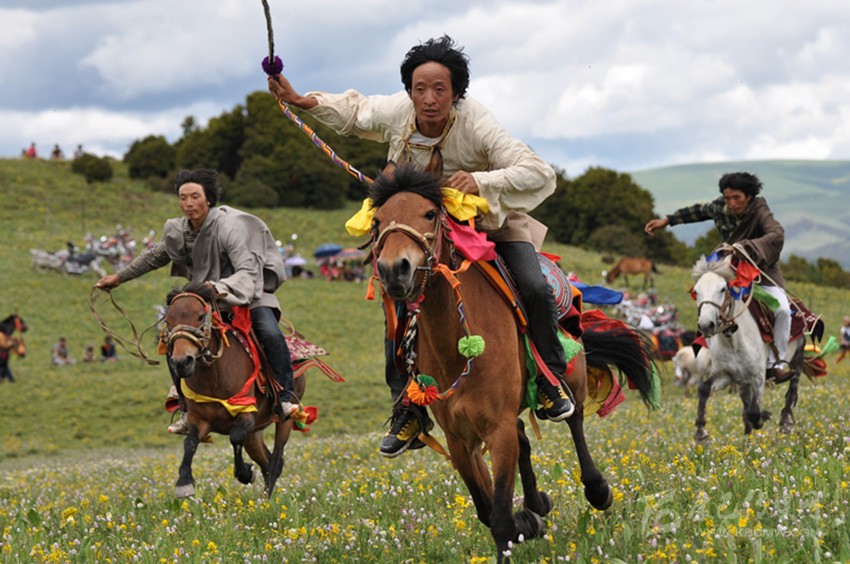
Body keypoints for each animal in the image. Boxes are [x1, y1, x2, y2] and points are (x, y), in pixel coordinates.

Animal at [162, 283, 306, 498]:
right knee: (266, 460)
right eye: (168, 321)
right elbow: (190, 442)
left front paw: (245, 473)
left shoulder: (246, 415)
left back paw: (266, 498)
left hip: (285, 419)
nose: (181, 362)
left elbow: (235, 436)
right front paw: (184, 482)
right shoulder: (200, 419)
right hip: (255, 433)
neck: (213, 376)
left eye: (200, 316)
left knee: (276, 460)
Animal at [368, 166, 657, 560]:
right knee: (525, 439)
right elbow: (486, 508)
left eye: (429, 213)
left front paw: (522, 525)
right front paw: (529, 521)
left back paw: (596, 489)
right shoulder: (460, 439)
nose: (394, 270)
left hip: (573, 378)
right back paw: (537, 505)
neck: (456, 348)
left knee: (575, 421)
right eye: (378, 220)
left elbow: (501, 518)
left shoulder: (497, 429)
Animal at [690, 255, 804, 442]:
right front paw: (701, 432)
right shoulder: (725, 376)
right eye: (696, 291)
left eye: (722, 289)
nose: (706, 325)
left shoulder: (758, 377)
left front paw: (763, 416)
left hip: (798, 355)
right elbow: (704, 389)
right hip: (743, 382)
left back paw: (786, 422)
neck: (733, 341)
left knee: (793, 386)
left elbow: (754, 411)